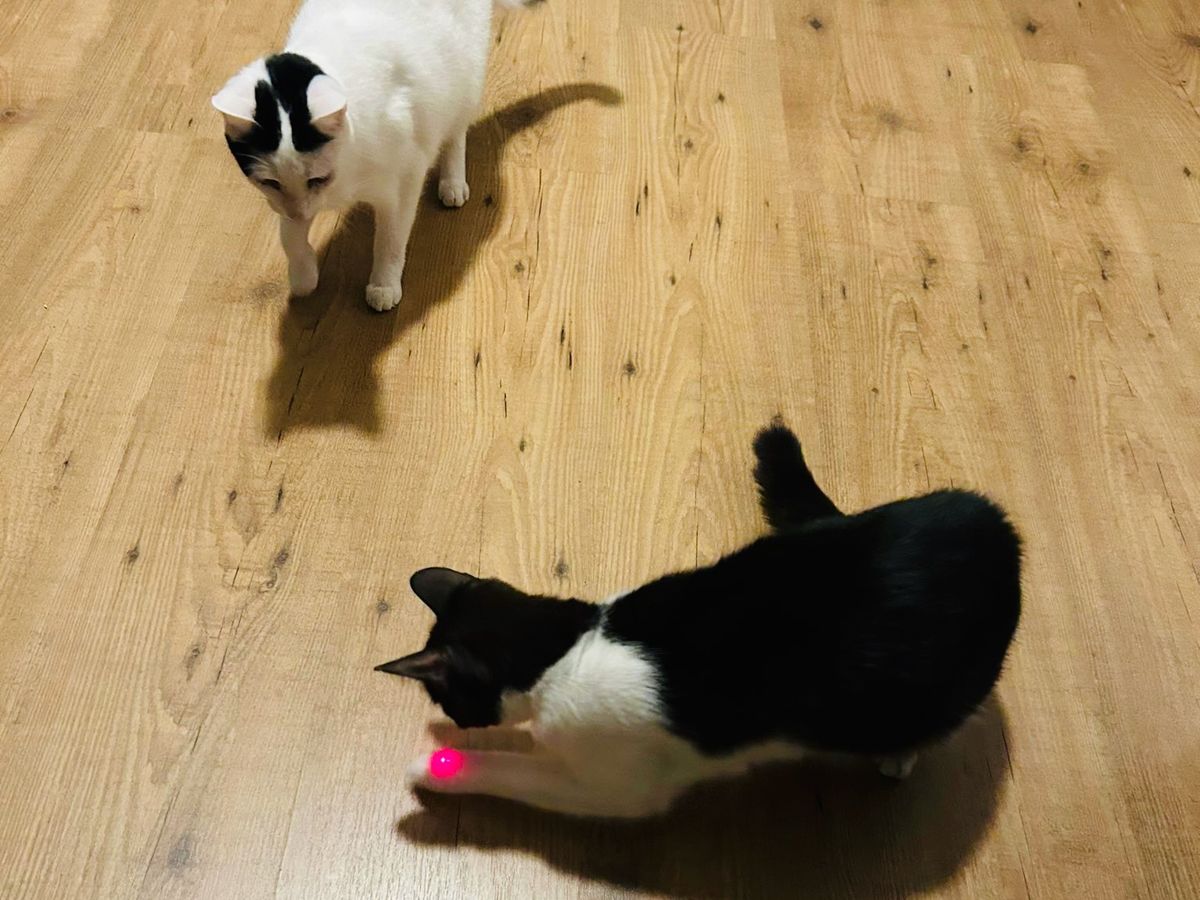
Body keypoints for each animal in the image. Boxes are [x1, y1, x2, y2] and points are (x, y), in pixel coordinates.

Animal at [212, 0, 535, 311]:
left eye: (318, 178)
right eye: (270, 183)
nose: (299, 213)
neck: (346, 171)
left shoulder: (404, 182)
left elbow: (390, 241)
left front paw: (384, 285)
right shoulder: (290, 202)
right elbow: (289, 238)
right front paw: (303, 277)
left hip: (462, 79)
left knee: (456, 130)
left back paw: (452, 182)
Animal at [376, 424, 1022, 818]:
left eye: (445, 700)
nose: (455, 725)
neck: (564, 649)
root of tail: (992, 520)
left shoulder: (611, 786)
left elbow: (515, 772)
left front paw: (435, 768)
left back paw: (898, 754)